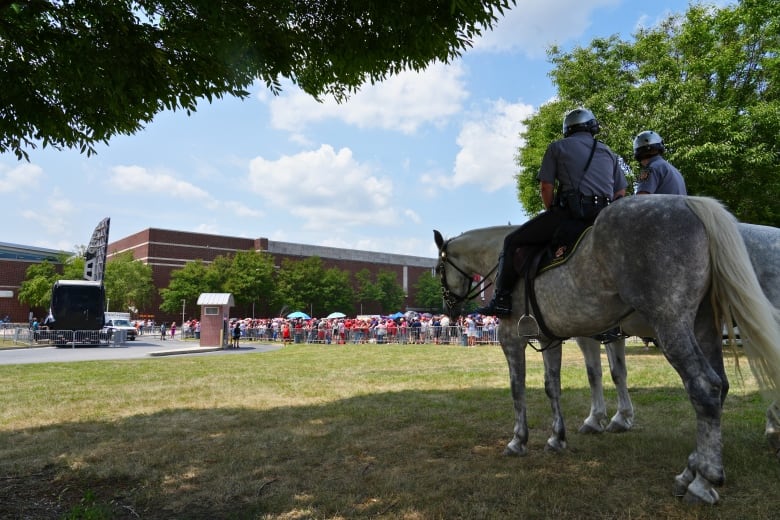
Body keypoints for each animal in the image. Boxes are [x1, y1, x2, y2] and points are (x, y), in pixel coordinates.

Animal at [432, 196, 780, 504]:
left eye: (438, 271)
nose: (450, 311)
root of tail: (692, 204)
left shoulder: (515, 337)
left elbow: (526, 387)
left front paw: (520, 440)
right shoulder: (552, 337)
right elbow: (558, 384)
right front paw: (560, 436)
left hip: (672, 324)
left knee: (705, 388)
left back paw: (705, 480)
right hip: (703, 325)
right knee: (720, 384)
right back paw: (693, 469)